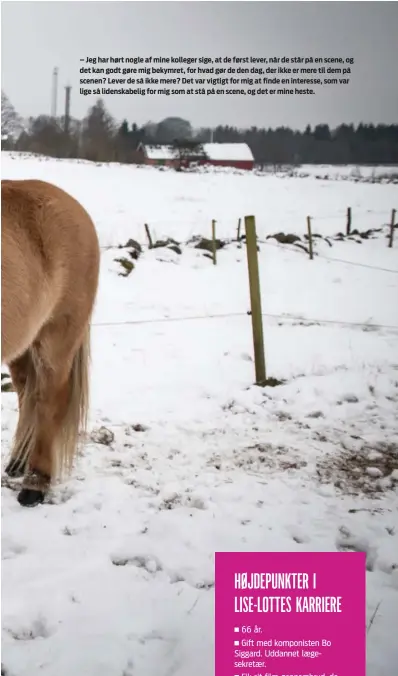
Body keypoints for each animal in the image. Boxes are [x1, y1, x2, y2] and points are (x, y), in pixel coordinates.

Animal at [1, 180, 100, 508]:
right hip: (23, 344)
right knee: (26, 394)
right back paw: (18, 462)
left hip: (57, 339)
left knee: (48, 401)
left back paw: (35, 483)